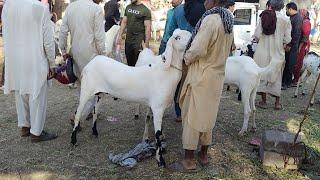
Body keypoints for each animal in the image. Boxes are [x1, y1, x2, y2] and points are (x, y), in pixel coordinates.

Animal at [71, 29, 191, 167]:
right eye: (177, 37)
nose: (192, 38)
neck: (165, 72)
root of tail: (91, 63)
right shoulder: (157, 108)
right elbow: (157, 134)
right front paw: (160, 160)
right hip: (86, 91)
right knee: (78, 114)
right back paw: (73, 140)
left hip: (99, 93)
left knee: (96, 111)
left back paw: (95, 132)